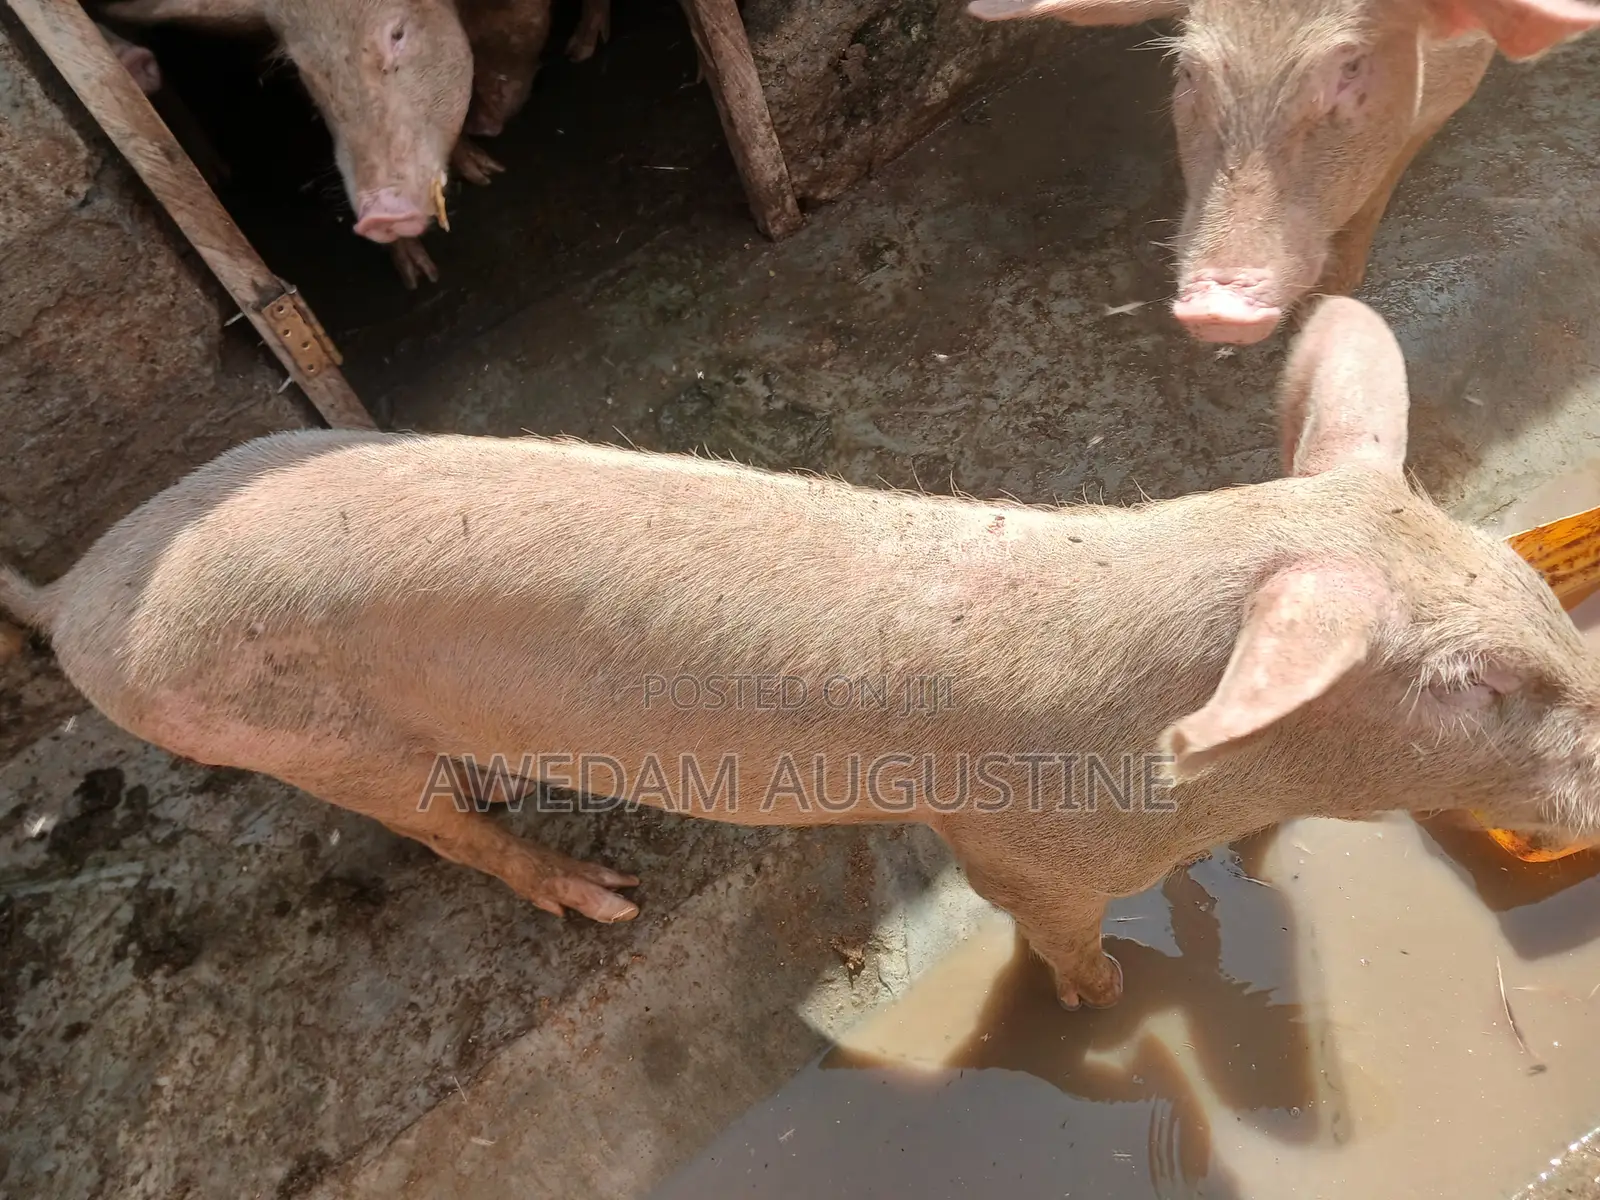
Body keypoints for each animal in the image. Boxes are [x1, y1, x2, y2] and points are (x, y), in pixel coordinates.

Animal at [5, 297, 1598, 1009]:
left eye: (1531, 586)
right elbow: (1060, 937)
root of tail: (77, 591)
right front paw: (1108, 1005)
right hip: (270, 724)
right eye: (1475, 686)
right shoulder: (1017, 849)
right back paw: (600, 895)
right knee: (445, 835)